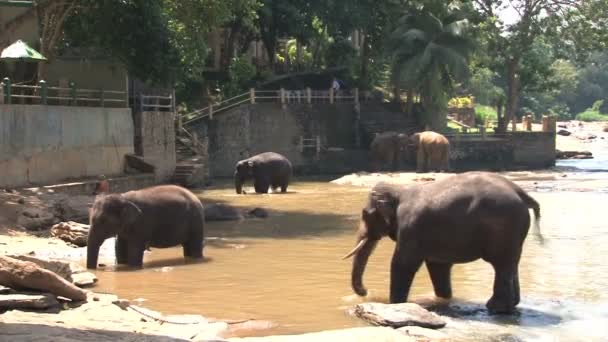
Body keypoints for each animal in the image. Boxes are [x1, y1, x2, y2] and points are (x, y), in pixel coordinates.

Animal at [342, 172, 540, 314]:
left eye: (365, 214)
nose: (365, 292)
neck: (400, 190)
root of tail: (522, 194)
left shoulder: (411, 227)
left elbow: (403, 263)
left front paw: (395, 304)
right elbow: (438, 265)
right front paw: (443, 300)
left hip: (504, 227)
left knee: (501, 264)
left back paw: (495, 308)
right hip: (513, 232)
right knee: (511, 263)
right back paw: (510, 306)